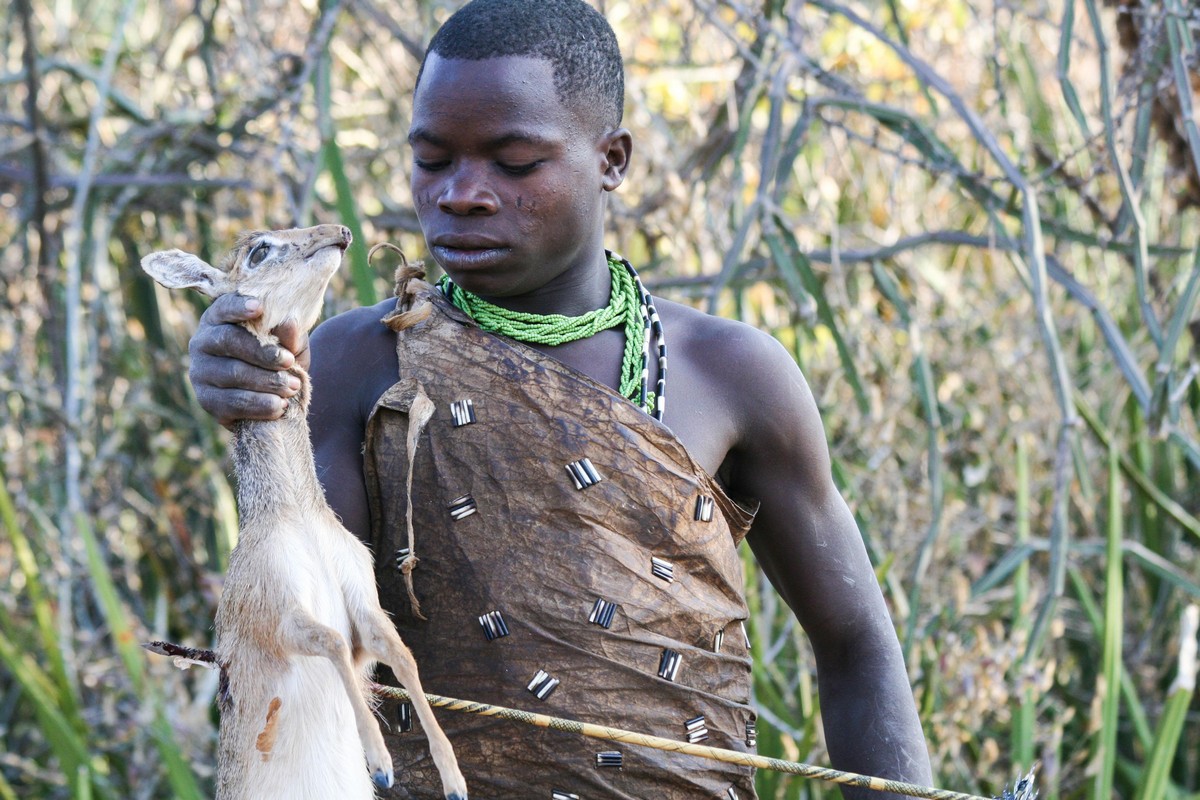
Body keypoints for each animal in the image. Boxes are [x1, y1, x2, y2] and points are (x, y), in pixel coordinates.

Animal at [144, 225, 468, 800]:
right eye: (259, 249)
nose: (339, 232)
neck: (299, 516)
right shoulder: (280, 613)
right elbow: (334, 641)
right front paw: (378, 761)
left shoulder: (363, 599)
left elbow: (402, 655)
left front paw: (452, 777)